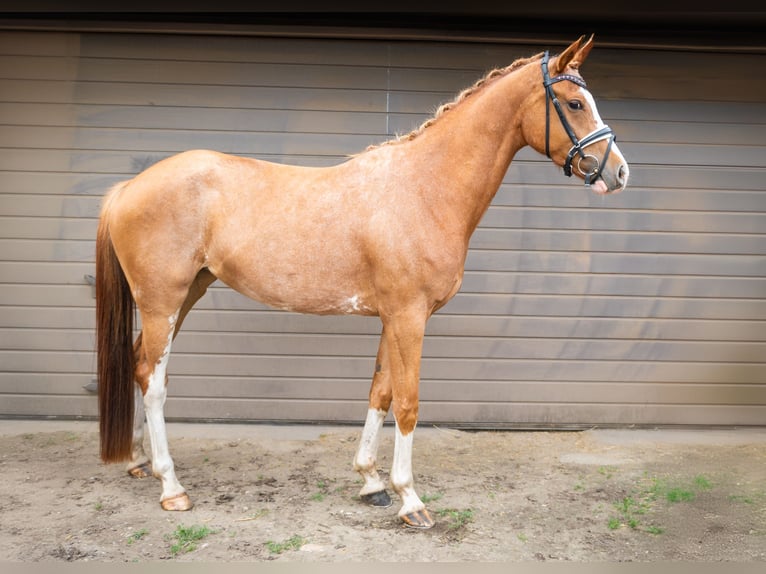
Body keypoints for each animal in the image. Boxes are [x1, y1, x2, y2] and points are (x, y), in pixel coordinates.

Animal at [96, 36, 632, 532]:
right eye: (575, 103)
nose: (619, 172)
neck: (424, 188)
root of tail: (128, 187)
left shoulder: (393, 318)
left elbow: (381, 393)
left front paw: (371, 482)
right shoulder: (410, 318)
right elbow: (409, 404)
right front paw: (411, 501)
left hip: (187, 294)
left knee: (142, 365)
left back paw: (141, 463)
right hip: (163, 300)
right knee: (155, 382)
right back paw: (172, 487)